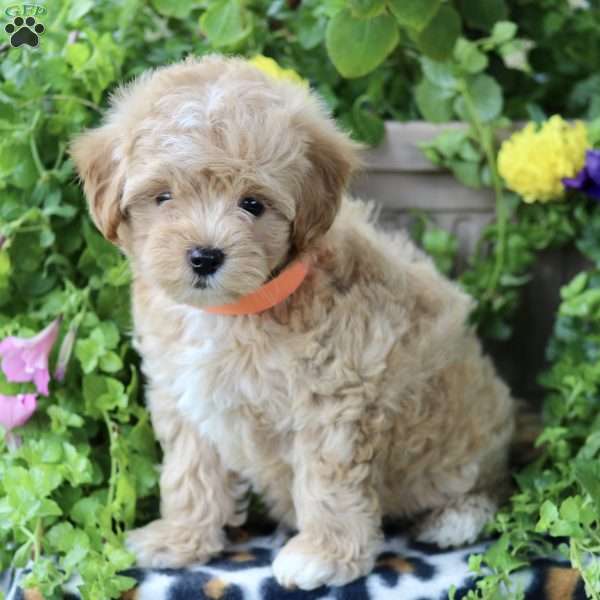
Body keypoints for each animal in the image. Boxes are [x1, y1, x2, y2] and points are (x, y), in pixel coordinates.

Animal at [71, 54, 516, 588]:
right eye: (163, 198)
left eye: (252, 204)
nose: (204, 256)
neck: (231, 309)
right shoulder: (184, 396)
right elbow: (189, 472)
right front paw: (179, 538)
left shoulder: (335, 399)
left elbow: (328, 483)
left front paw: (322, 555)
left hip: (468, 434)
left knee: (485, 483)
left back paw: (455, 519)